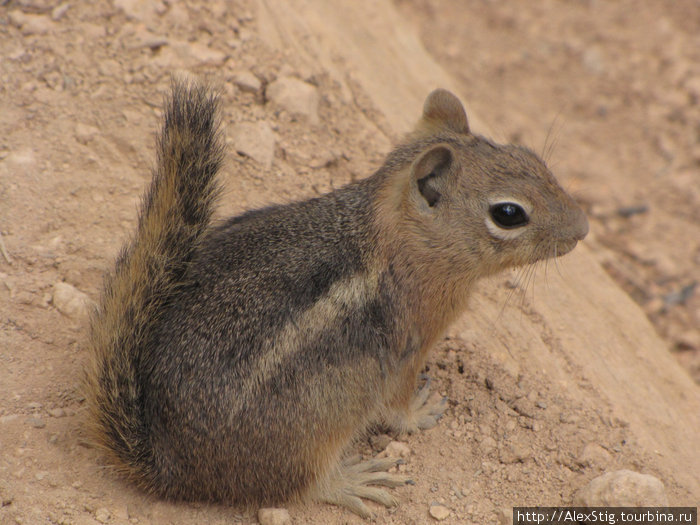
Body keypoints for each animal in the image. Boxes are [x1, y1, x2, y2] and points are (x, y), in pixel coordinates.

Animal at [83, 81, 592, 516]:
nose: (583, 229)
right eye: (508, 213)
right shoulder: (410, 345)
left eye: (528, 155)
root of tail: (169, 467)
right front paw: (418, 411)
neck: (399, 238)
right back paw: (350, 481)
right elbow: (397, 405)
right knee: (299, 487)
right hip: (317, 428)